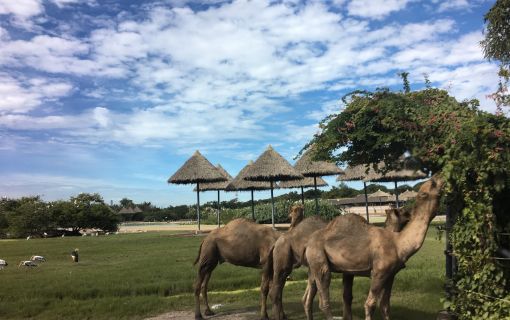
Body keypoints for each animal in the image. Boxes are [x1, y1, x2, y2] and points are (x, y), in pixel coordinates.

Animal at [270, 206, 410, 318]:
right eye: (404, 212)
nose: (410, 213)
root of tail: (279, 238)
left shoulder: (348, 269)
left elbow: (347, 296)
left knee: (305, 297)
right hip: (284, 254)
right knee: (277, 287)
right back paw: (279, 316)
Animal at [302, 175, 442, 320]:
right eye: (432, 184)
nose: (438, 176)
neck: (398, 243)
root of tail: (309, 243)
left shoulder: (391, 274)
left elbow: (385, 306)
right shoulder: (378, 272)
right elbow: (370, 304)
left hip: (313, 265)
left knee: (308, 296)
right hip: (319, 258)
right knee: (323, 297)